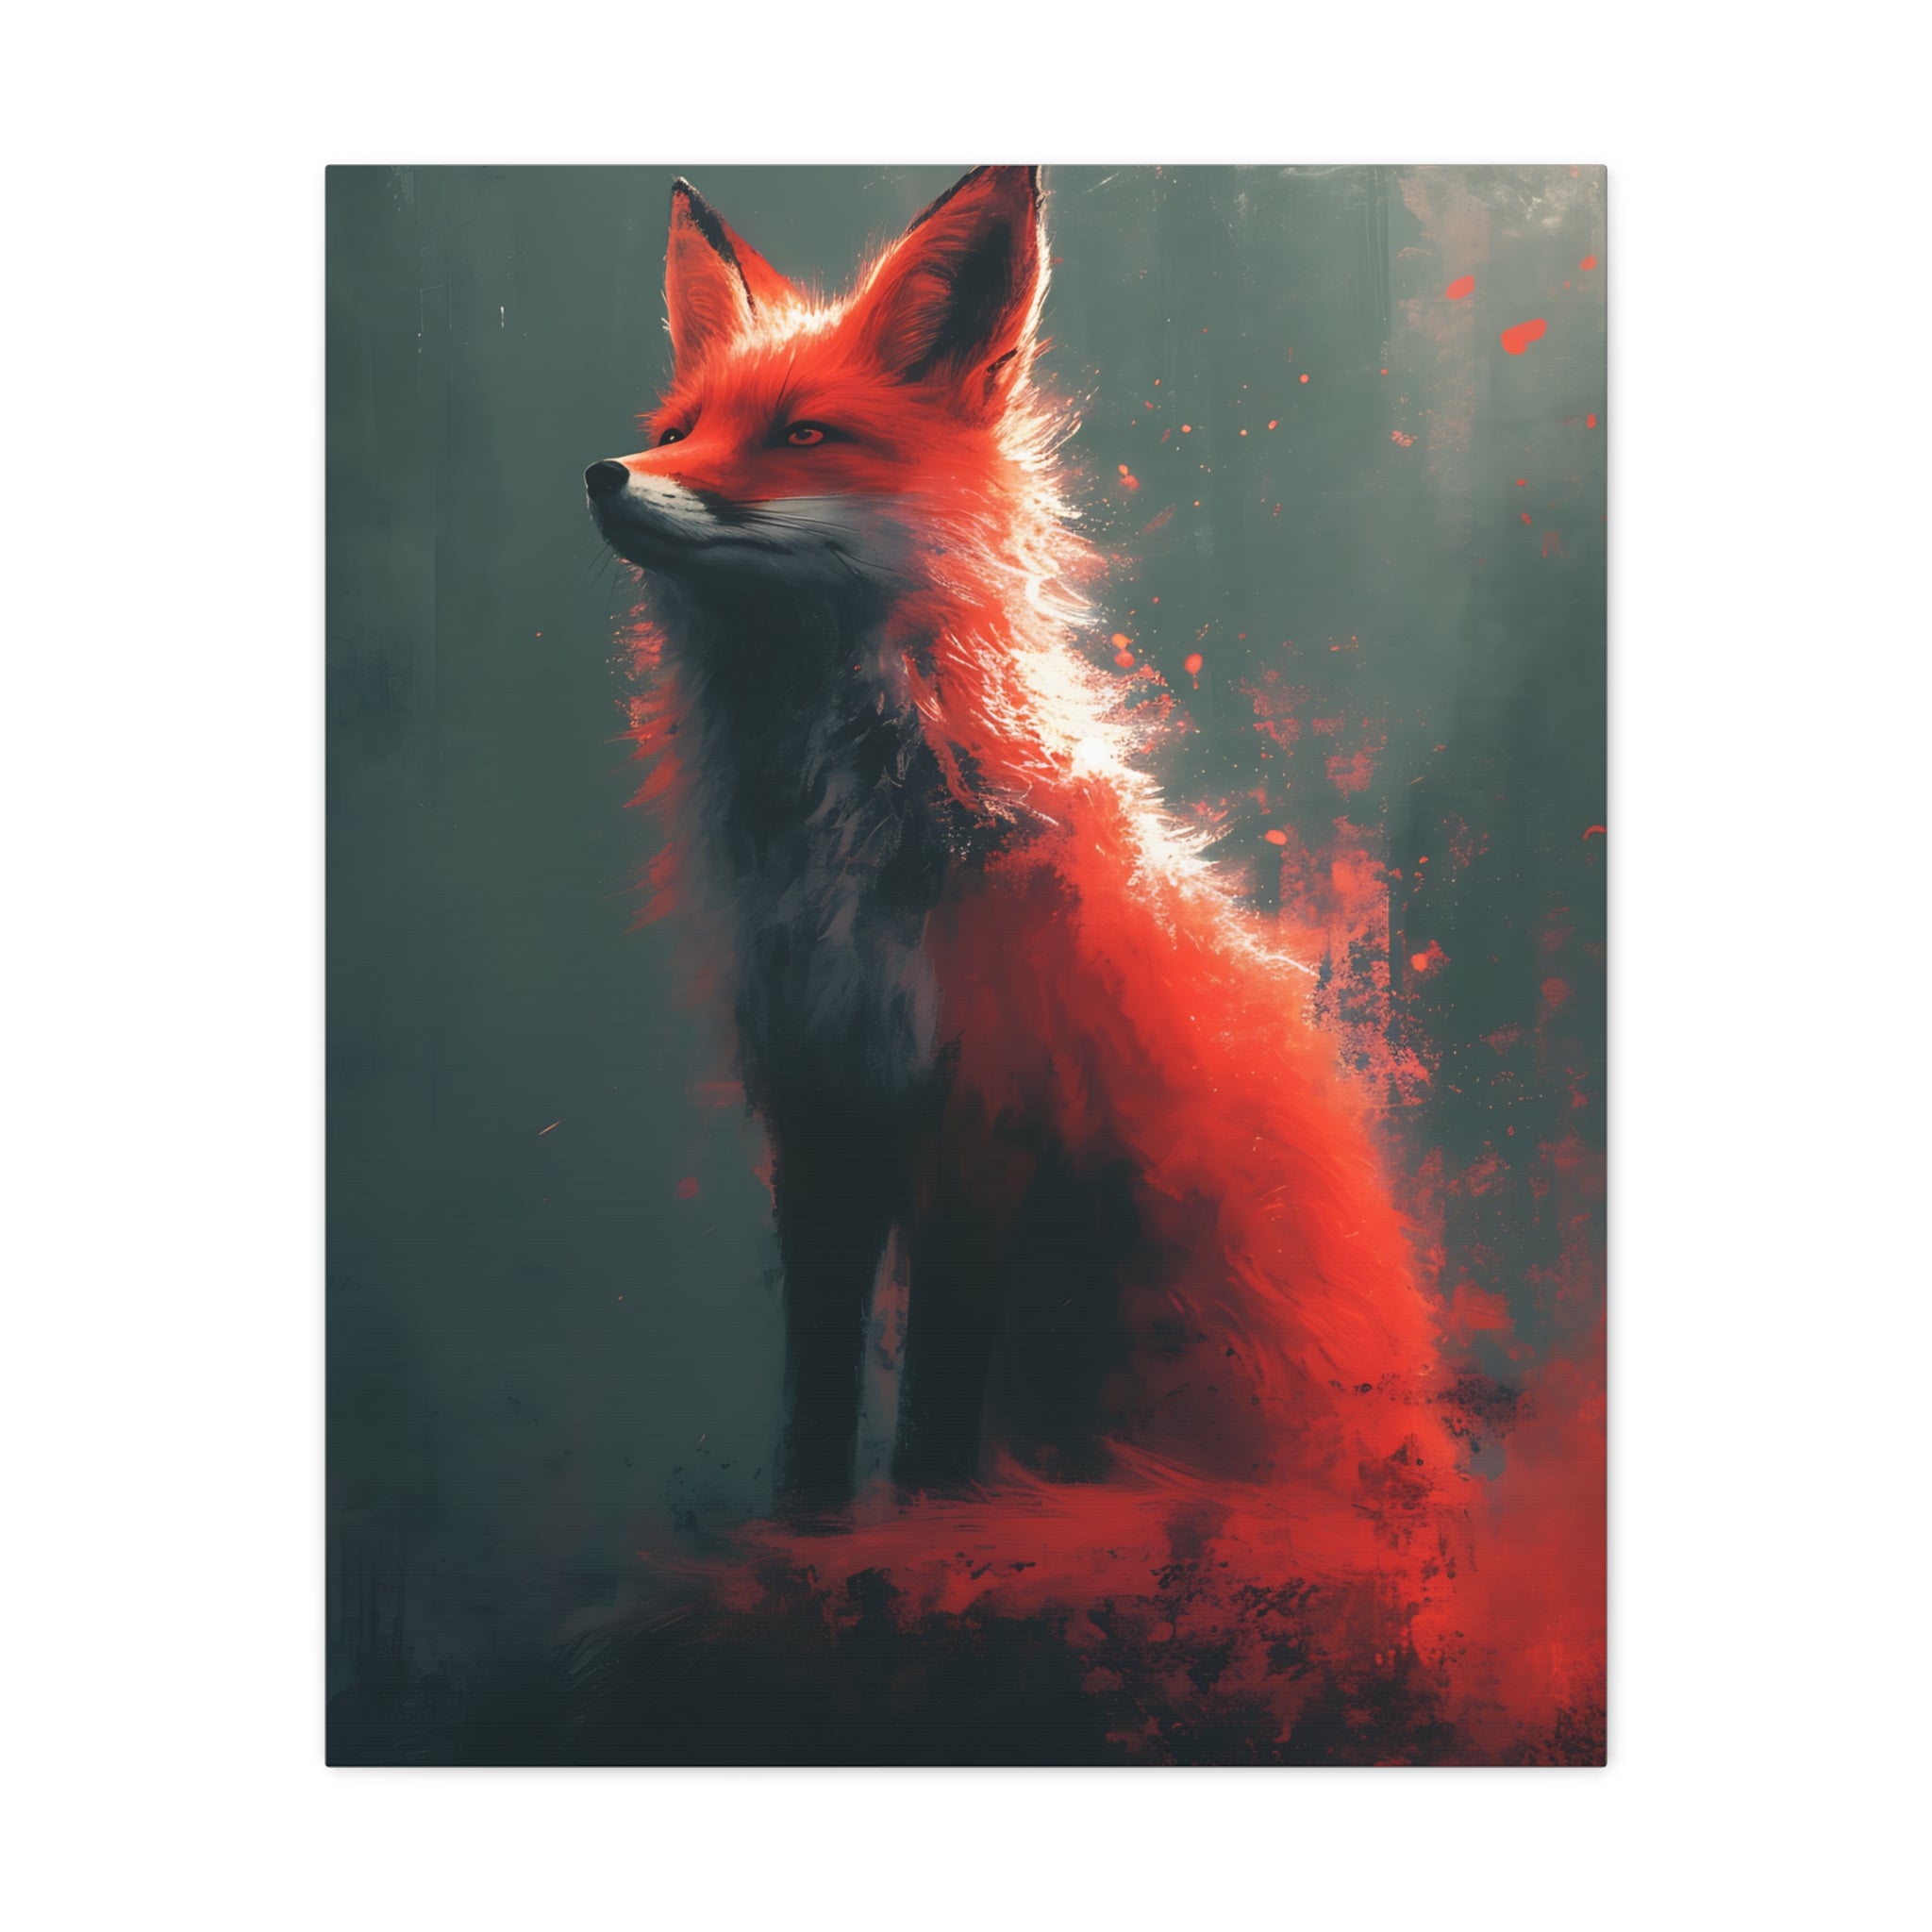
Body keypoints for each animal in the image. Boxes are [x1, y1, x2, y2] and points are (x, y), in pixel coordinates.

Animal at [586, 167, 1448, 1523]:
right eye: (678, 428)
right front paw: (806, 1529)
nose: (604, 475)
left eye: (802, 435)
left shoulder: (986, 1113)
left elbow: (935, 1399)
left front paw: (925, 1526)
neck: (847, 846)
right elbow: (817, 1385)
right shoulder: (818, 1108)